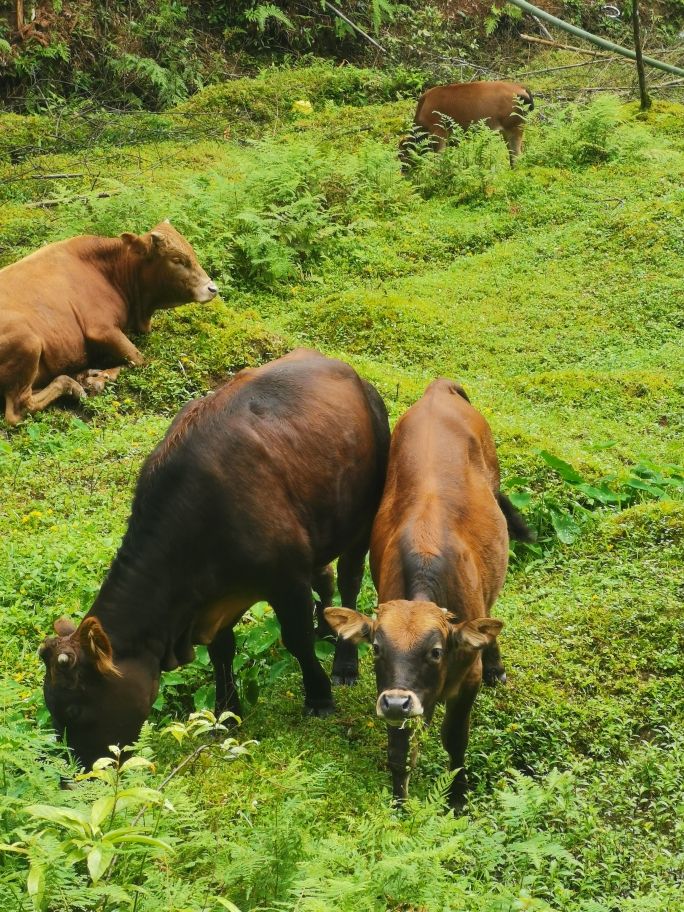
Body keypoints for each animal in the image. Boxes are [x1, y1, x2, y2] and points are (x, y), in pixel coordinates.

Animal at [0, 221, 216, 424]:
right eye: (177, 259)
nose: (212, 289)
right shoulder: (100, 329)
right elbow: (138, 358)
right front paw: (100, 379)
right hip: (29, 343)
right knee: (19, 408)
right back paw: (72, 384)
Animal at [38, 350, 390, 768]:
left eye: (74, 710)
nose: (77, 773)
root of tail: (347, 371)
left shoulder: (286, 580)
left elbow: (297, 639)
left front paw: (319, 696)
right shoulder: (214, 595)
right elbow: (223, 650)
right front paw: (226, 711)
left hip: (363, 515)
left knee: (350, 579)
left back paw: (345, 663)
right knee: (326, 576)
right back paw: (326, 626)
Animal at [324, 382, 532, 808]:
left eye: (436, 652)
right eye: (376, 649)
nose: (397, 702)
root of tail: (439, 387)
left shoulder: (466, 679)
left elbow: (455, 741)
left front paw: (457, 798)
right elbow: (398, 749)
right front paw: (399, 803)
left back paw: (497, 666)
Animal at [398, 80, 536, 169]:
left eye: (402, 156)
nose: (403, 172)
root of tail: (520, 87)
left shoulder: (440, 134)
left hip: (514, 129)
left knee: (516, 155)